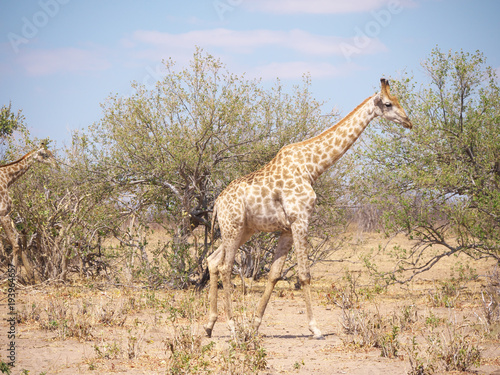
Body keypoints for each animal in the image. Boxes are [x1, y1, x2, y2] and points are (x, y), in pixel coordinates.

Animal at [0, 142, 56, 282]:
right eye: (45, 154)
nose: (56, 165)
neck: (7, 179)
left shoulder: (5, 215)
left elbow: (17, 242)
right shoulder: (3, 213)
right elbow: (15, 245)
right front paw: (11, 279)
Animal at [202, 78, 410, 340]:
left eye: (398, 100)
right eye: (388, 103)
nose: (408, 121)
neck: (312, 167)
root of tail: (217, 204)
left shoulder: (287, 229)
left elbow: (274, 274)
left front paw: (255, 324)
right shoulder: (300, 220)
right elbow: (304, 275)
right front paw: (315, 328)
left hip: (243, 230)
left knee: (212, 261)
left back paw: (209, 325)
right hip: (233, 227)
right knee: (225, 267)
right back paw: (231, 326)